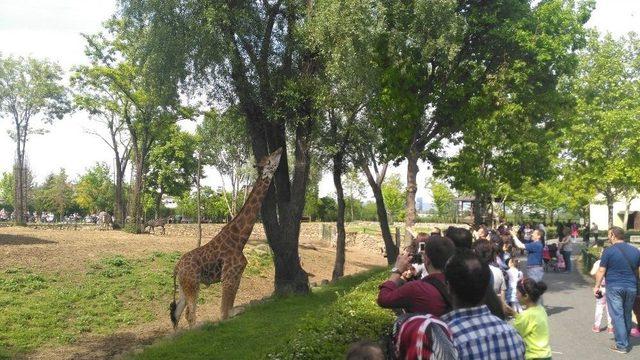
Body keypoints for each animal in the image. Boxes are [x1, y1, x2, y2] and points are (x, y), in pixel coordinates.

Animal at [170, 147, 282, 330]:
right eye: (270, 160)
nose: (280, 149)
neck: (239, 239)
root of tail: (177, 267)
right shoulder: (229, 275)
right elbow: (224, 314)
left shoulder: (237, 275)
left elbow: (233, 308)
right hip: (193, 284)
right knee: (190, 315)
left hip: (183, 286)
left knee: (176, 314)